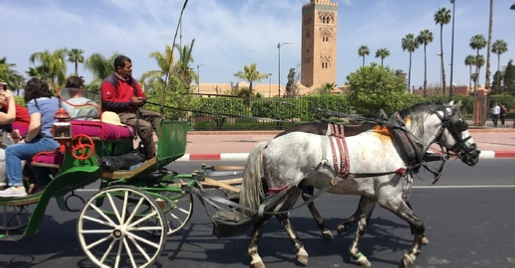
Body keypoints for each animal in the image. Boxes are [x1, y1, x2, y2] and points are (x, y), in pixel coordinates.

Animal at [240, 101, 482, 268]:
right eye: (461, 123)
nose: (475, 153)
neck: (398, 143)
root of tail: (270, 142)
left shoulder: (371, 196)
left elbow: (363, 224)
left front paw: (356, 252)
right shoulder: (389, 198)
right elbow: (419, 222)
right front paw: (410, 254)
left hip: (292, 189)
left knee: (283, 215)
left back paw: (301, 249)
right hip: (282, 189)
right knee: (264, 216)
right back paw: (255, 255)